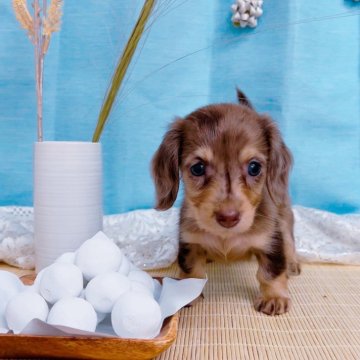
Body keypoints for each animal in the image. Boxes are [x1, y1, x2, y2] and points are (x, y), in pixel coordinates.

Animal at [152, 90, 300, 316]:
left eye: (254, 167)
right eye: (197, 168)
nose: (228, 217)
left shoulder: (270, 240)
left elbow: (270, 272)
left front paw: (274, 296)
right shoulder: (189, 241)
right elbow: (192, 270)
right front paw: (187, 292)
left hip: (283, 215)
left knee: (289, 238)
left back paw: (292, 262)